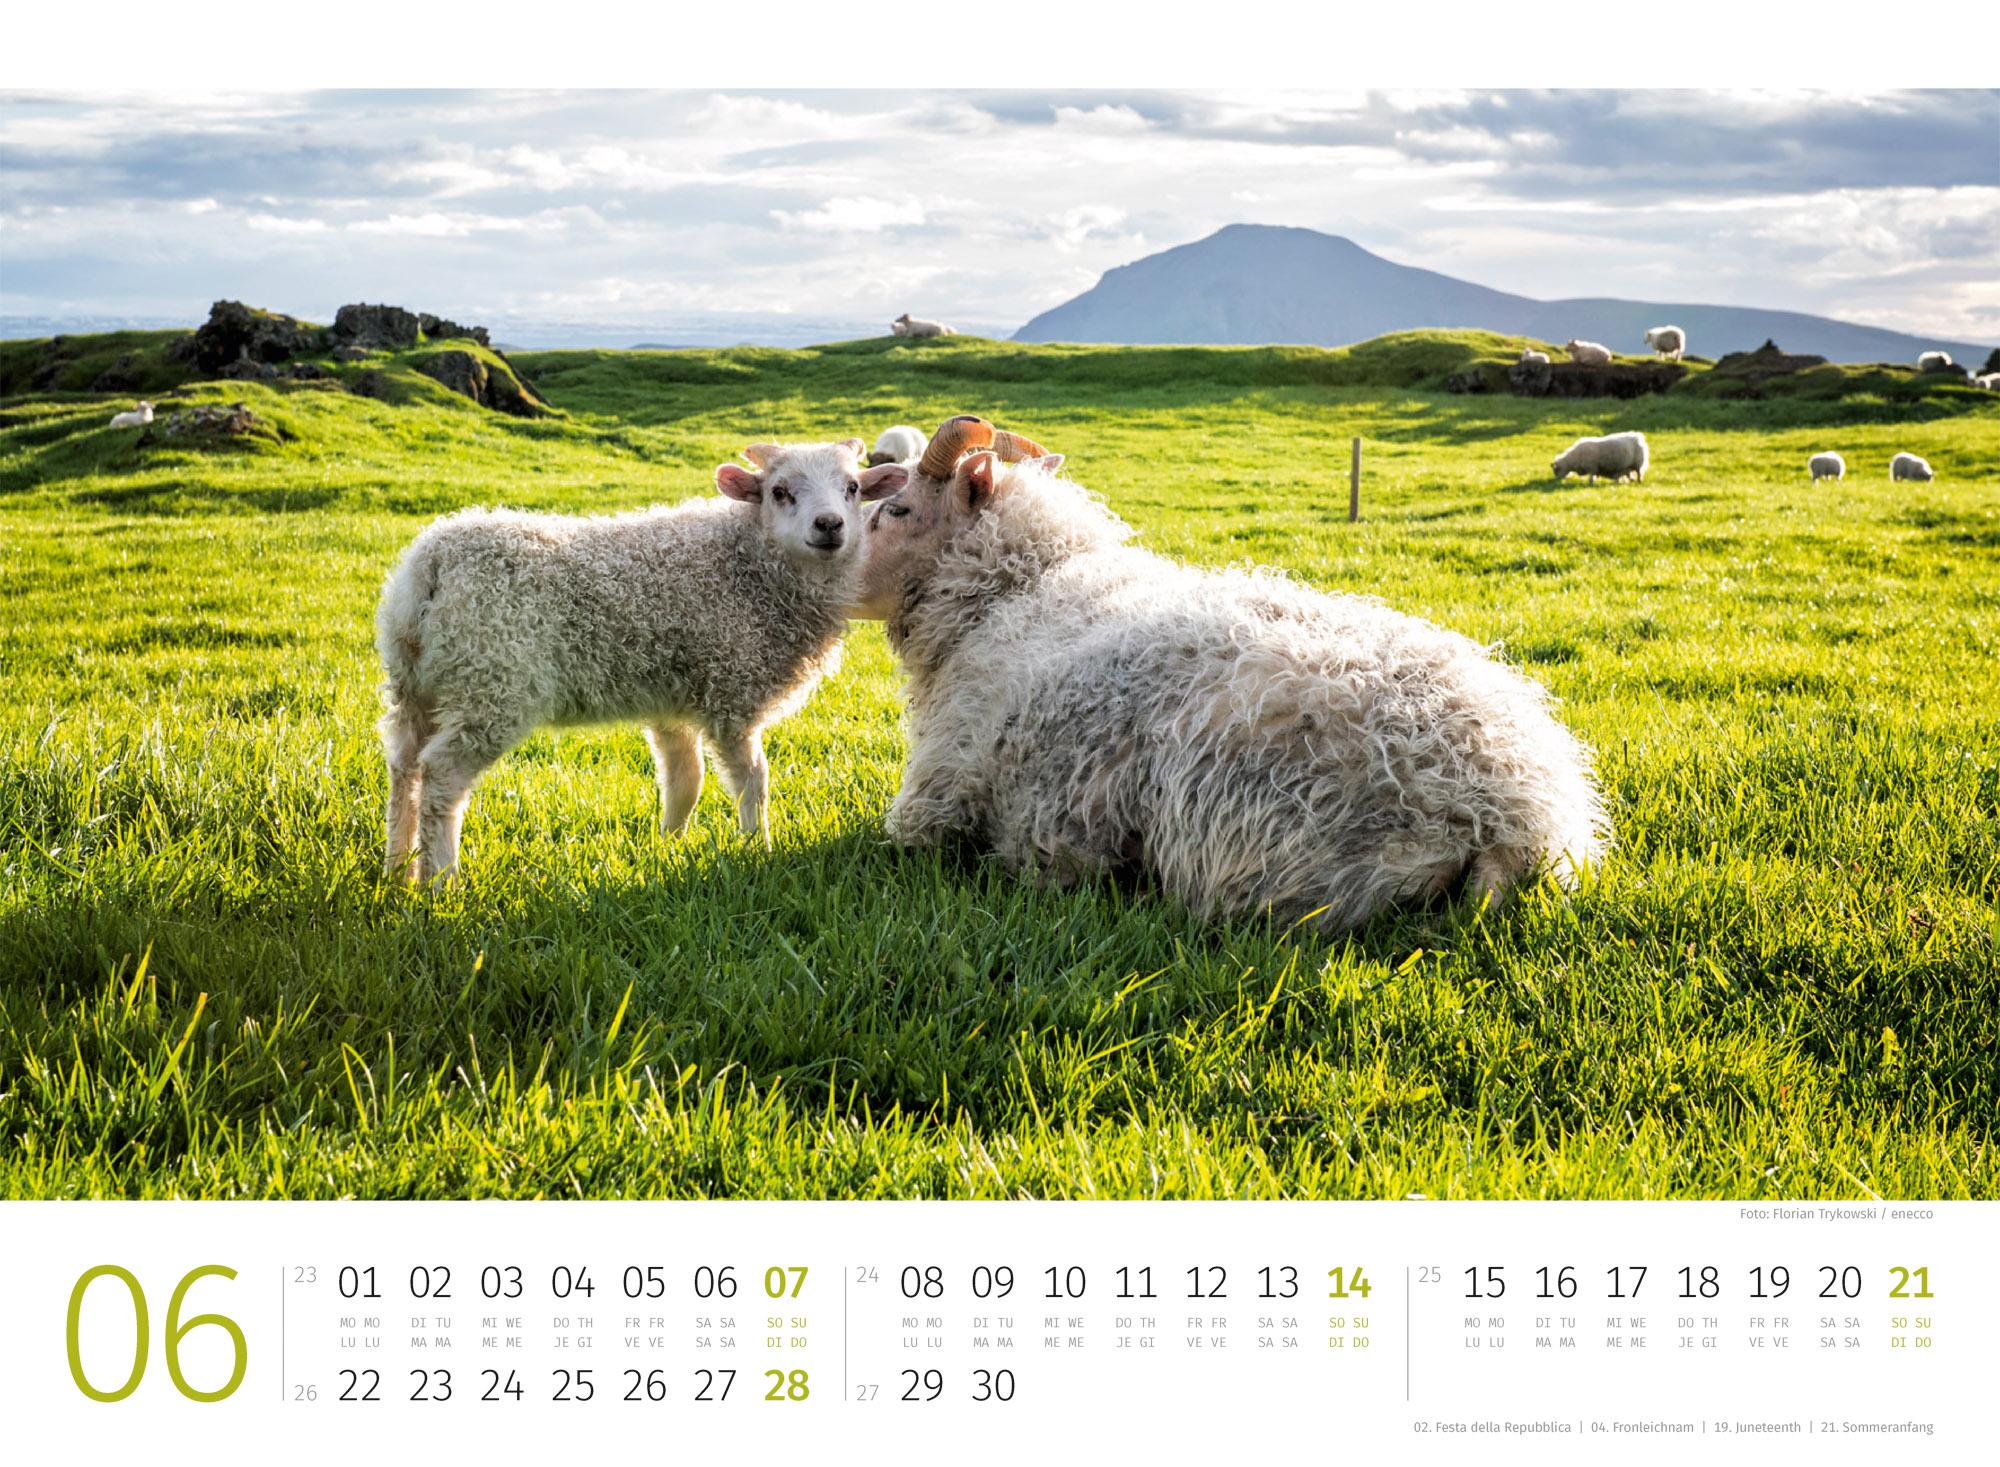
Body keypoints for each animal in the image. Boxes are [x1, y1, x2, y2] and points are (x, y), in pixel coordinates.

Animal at [375, 440, 910, 884]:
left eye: (852, 489)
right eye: (779, 492)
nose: (830, 525)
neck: (749, 564)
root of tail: (432, 562)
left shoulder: (671, 699)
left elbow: (685, 780)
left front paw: (668, 846)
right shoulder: (732, 690)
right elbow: (752, 781)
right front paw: (758, 849)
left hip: (419, 683)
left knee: (404, 766)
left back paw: (398, 868)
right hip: (493, 681)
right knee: (441, 776)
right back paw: (441, 882)